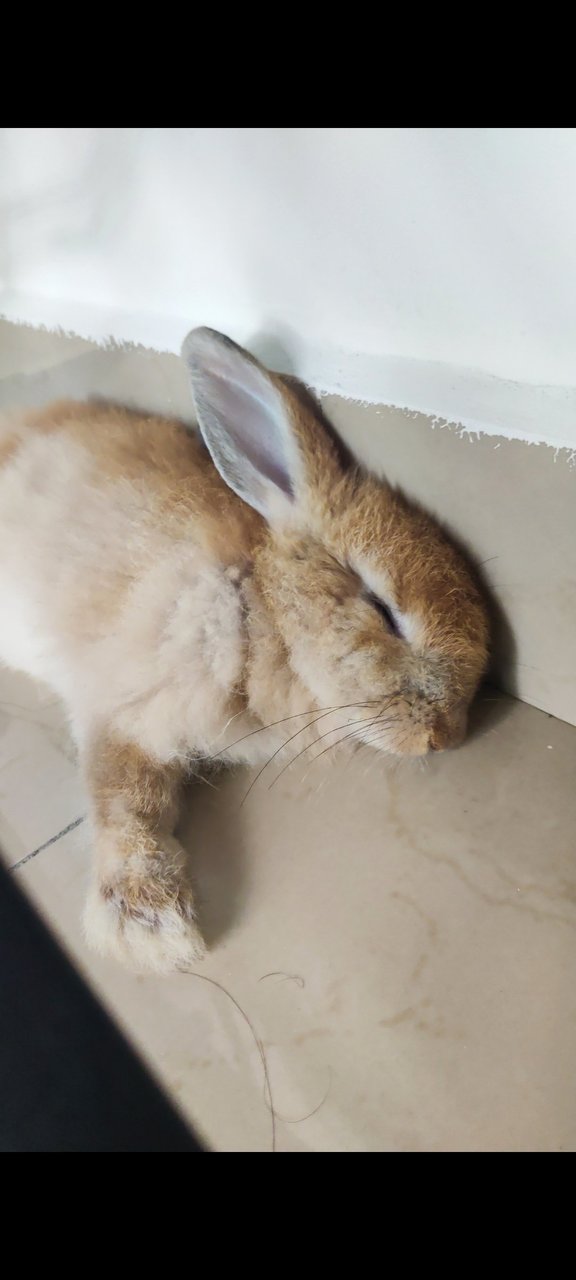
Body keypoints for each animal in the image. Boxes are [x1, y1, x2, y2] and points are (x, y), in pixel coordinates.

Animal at [0, 330, 491, 967]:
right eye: (381, 610)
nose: (447, 736)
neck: (262, 606)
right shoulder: (127, 698)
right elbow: (124, 796)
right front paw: (150, 930)